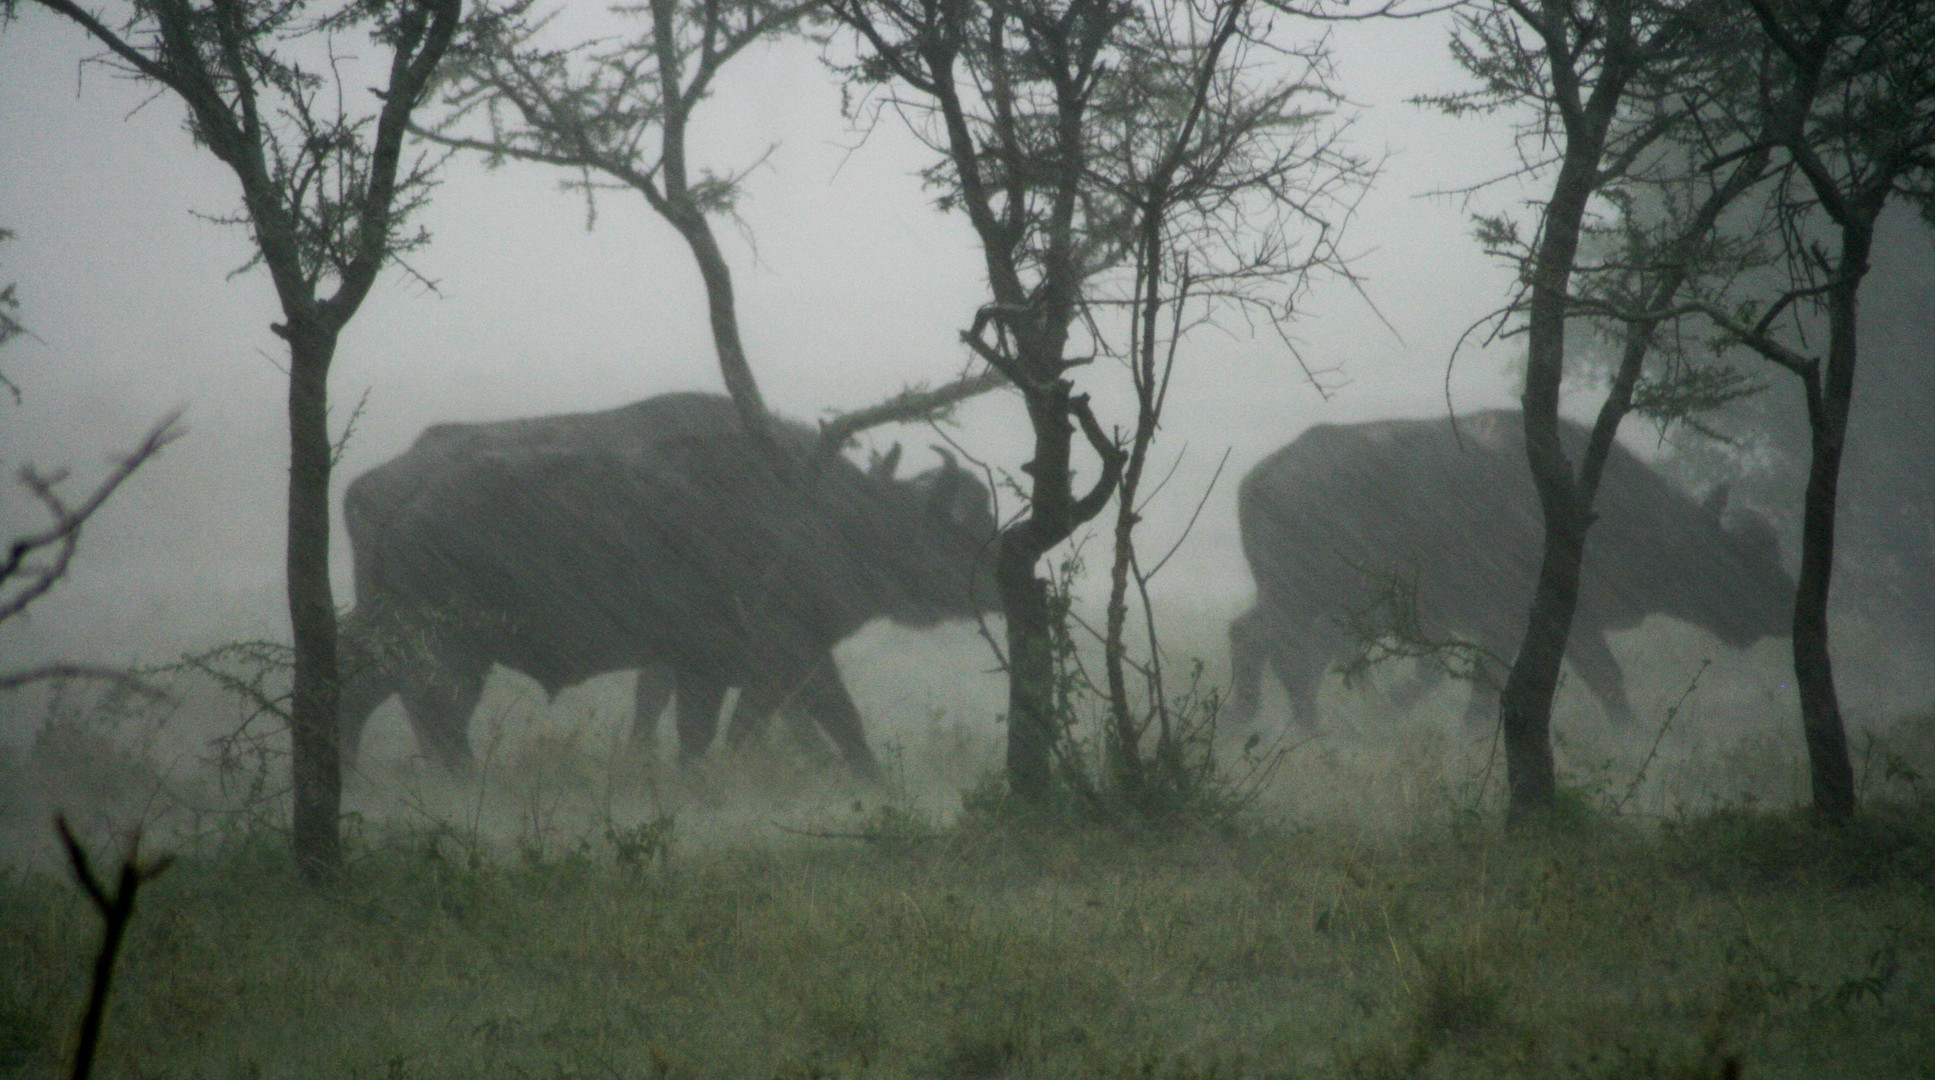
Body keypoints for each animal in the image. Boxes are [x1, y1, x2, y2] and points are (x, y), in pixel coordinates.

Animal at [338, 392, 998, 781]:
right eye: (960, 529)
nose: (999, 578)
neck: (826, 514)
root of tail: (390, 497)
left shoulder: (730, 667)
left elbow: (726, 730)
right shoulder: (780, 651)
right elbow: (832, 718)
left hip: (391, 636)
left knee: (363, 694)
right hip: (450, 649)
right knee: (437, 714)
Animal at [1230, 410, 1787, 731]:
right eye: (1746, 556)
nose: (1785, 604)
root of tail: (1261, 477)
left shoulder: (1536, 621)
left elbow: (1492, 681)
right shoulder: (1541, 616)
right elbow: (1598, 677)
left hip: (1298, 598)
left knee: (1251, 636)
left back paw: (1249, 723)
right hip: (1302, 596)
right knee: (1284, 653)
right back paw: (1304, 727)